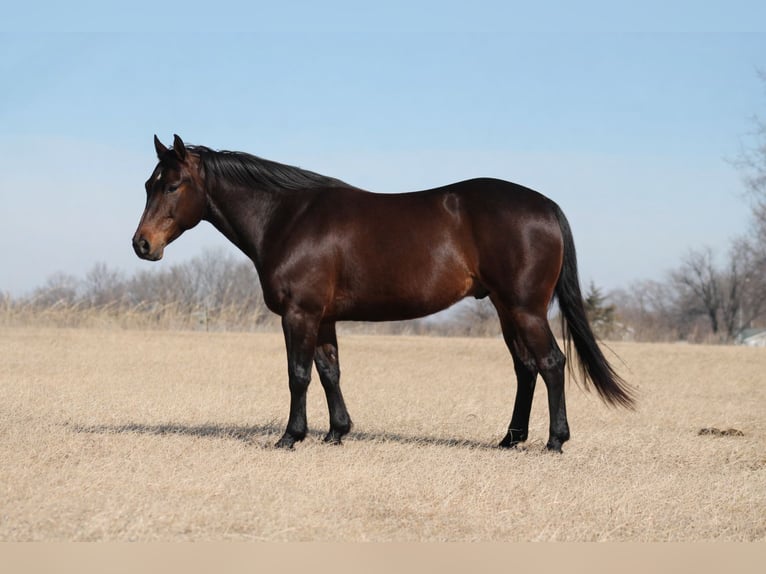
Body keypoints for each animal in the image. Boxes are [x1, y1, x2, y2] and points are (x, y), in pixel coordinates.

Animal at [133, 134, 634, 452]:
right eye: (147, 184)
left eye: (173, 184)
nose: (142, 245)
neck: (287, 217)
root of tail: (546, 206)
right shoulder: (324, 317)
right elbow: (329, 371)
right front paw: (337, 433)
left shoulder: (300, 313)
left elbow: (298, 374)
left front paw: (291, 437)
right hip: (505, 308)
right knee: (526, 368)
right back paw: (510, 439)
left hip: (525, 308)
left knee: (550, 363)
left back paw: (554, 441)